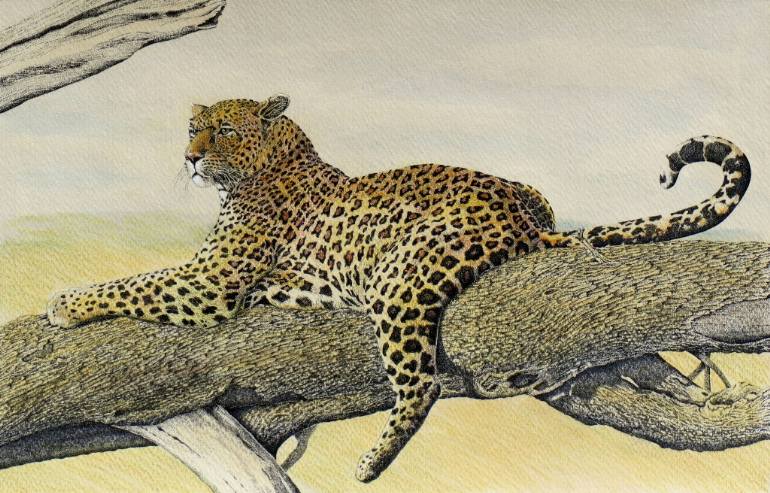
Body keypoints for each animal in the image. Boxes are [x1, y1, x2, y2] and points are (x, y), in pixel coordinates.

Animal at [46, 95, 751, 482]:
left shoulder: (212, 281)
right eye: (193, 129)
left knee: (422, 383)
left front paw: (64, 303)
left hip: (402, 279)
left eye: (222, 130)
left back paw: (372, 463)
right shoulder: (217, 278)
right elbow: (143, 278)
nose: (190, 157)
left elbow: (135, 283)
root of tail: (525, 220)